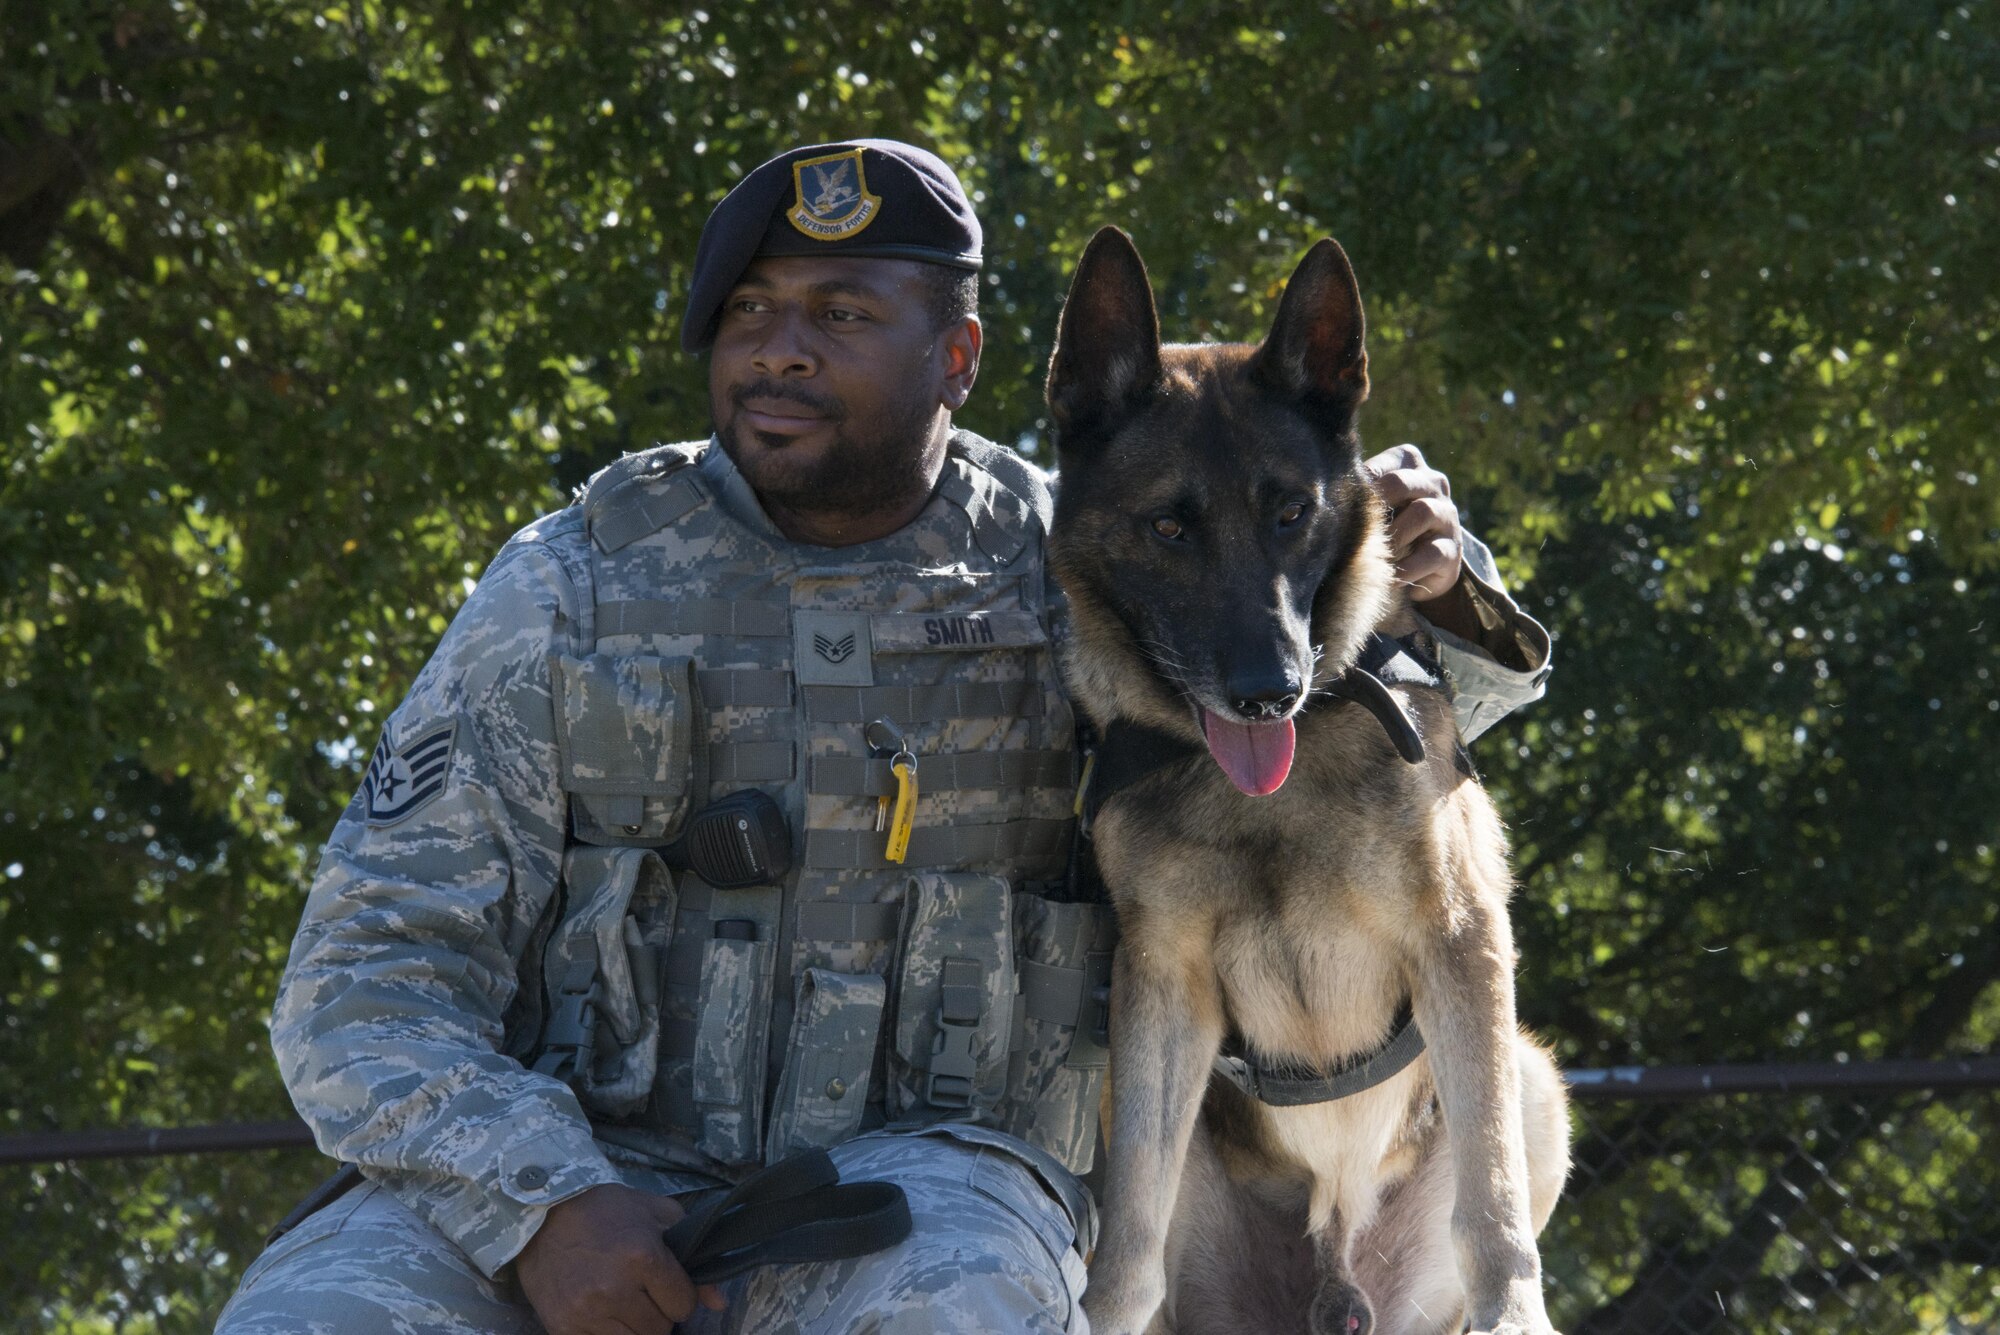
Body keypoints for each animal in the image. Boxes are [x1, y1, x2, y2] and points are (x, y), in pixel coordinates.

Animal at [1056, 229, 1568, 1335]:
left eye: (1291, 512)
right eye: (1169, 528)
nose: (1267, 692)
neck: (1272, 797)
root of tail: (1335, 1266)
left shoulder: (1460, 939)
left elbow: (1492, 1208)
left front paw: (1517, 1314)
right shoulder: (1162, 982)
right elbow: (1126, 1248)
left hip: (1532, 1073)